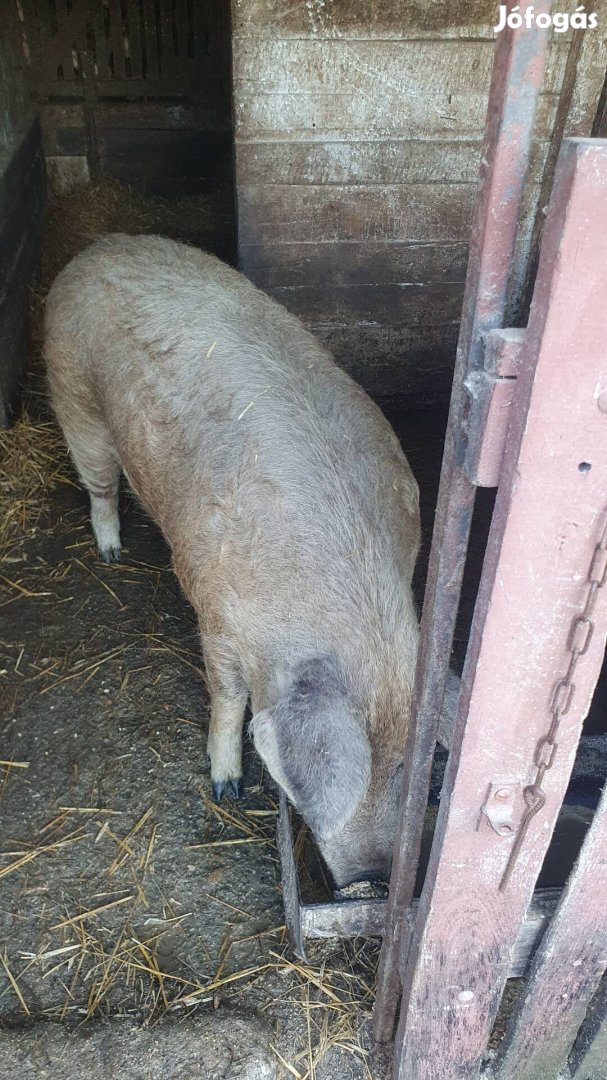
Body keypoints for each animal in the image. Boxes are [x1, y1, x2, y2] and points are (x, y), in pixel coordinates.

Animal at [43, 234, 421, 885]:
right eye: (350, 776)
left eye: (405, 768)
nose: (371, 877)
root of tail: (98, 247)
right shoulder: (213, 606)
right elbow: (226, 696)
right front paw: (226, 788)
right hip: (75, 396)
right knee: (99, 483)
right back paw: (111, 551)